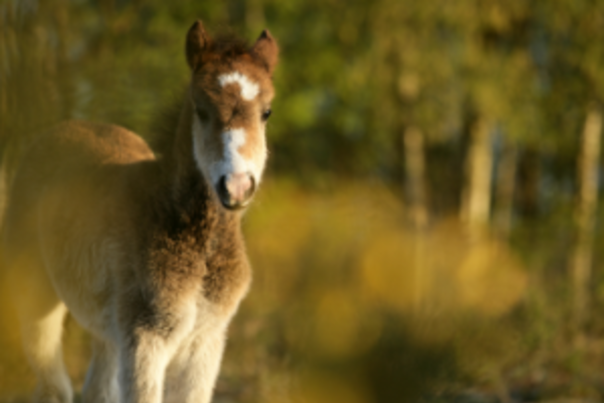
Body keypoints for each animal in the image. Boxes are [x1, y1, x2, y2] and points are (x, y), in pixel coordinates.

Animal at [1, 20, 278, 403]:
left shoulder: (206, 342)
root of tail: (63, 128)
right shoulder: (145, 340)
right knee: (53, 385)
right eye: (200, 109)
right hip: (34, 294)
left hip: (106, 329)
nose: (236, 186)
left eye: (266, 112)